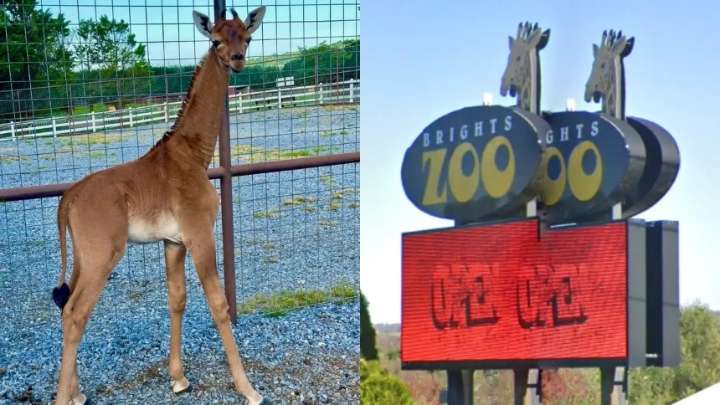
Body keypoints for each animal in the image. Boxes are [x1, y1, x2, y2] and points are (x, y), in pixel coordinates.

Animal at [51, 7, 270, 405]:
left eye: (246, 37)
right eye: (216, 40)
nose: (237, 60)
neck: (194, 155)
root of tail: (68, 198)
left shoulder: (173, 242)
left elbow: (177, 299)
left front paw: (179, 378)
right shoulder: (200, 234)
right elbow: (219, 304)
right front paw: (248, 388)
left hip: (82, 257)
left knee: (64, 307)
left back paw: (76, 393)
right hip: (102, 255)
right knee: (75, 313)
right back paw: (65, 397)